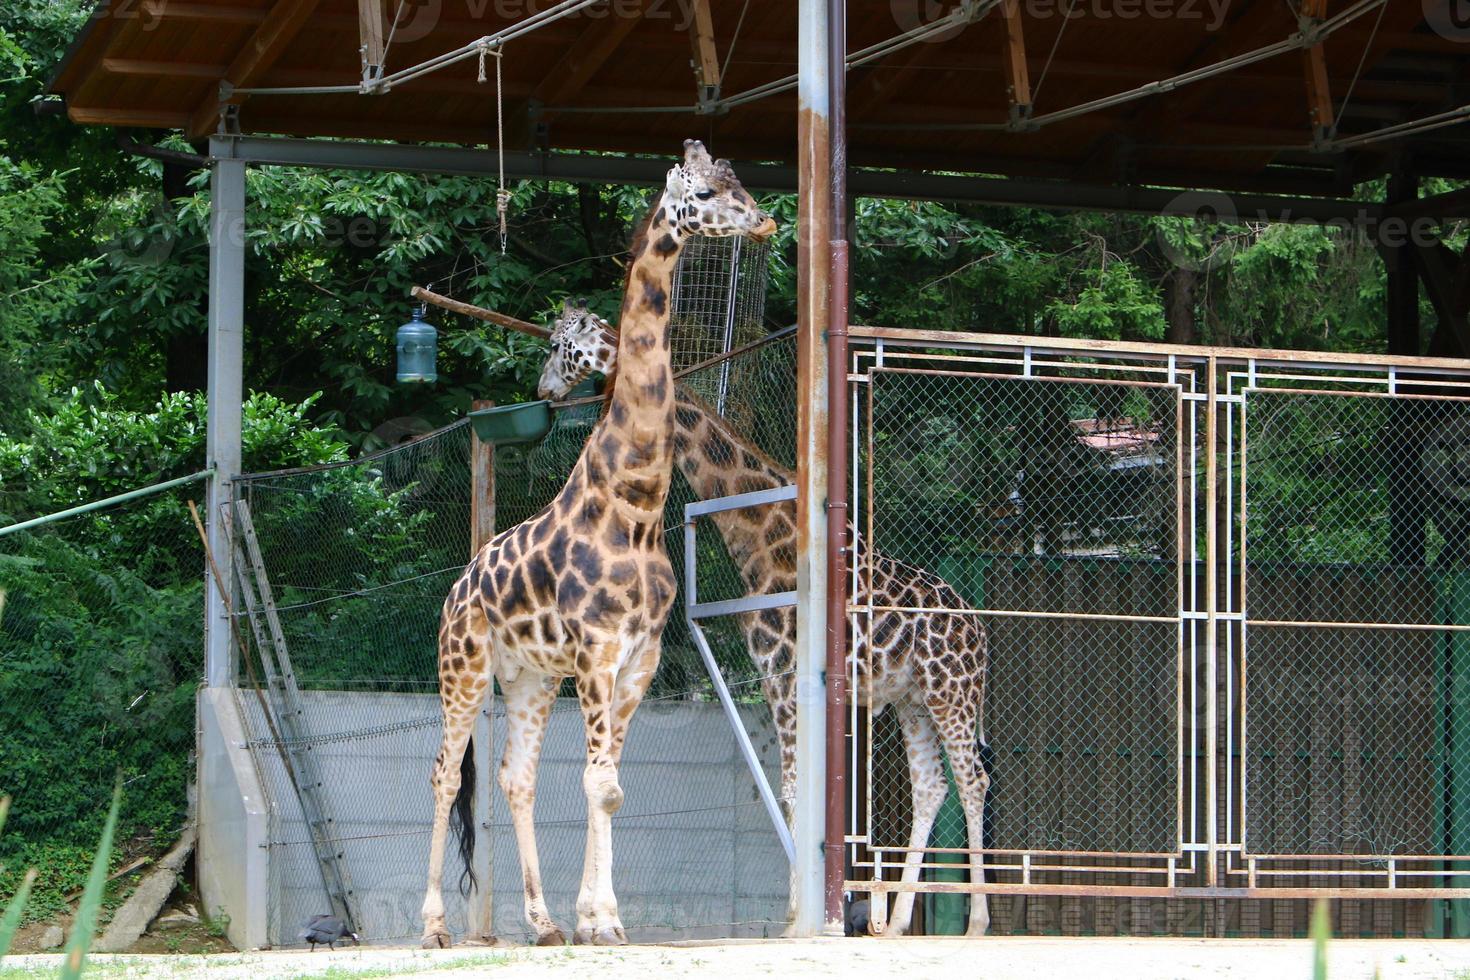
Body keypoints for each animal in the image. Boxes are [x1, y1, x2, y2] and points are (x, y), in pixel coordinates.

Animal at [420, 141, 776, 946]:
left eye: (740, 181)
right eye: (706, 192)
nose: (766, 220)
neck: (635, 501)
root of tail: (454, 590)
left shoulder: (638, 657)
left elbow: (610, 785)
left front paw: (593, 917)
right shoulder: (597, 650)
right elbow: (598, 782)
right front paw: (603, 921)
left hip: (527, 678)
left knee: (515, 776)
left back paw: (541, 922)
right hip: (464, 668)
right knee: (445, 772)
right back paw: (433, 927)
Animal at [535, 302, 993, 940]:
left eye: (558, 346)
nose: (544, 389)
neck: (760, 537)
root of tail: (979, 628)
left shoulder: (784, 667)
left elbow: (796, 791)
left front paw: (797, 920)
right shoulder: (776, 671)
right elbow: (796, 793)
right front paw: (801, 914)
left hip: (954, 690)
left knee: (973, 780)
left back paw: (976, 922)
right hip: (912, 697)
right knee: (931, 786)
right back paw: (899, 921)